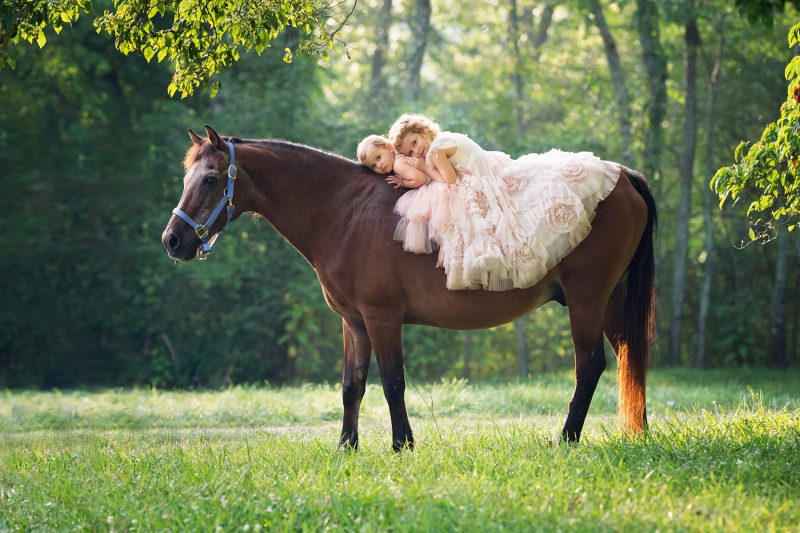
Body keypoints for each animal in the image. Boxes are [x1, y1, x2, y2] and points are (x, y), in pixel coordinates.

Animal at [162, 125, 657, 451]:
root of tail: (622, 176)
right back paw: (636, 431)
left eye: (210, 178)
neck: (344, 211)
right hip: (609, 304)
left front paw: (403, 446)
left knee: (590, 366)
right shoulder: (354, 323)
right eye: (187, 178)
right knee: (628, 360)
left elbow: (392, 382)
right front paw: (346, 449)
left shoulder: (382, 318)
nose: (173, 240)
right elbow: (352, 386)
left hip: (586, 300)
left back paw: (567, 439)